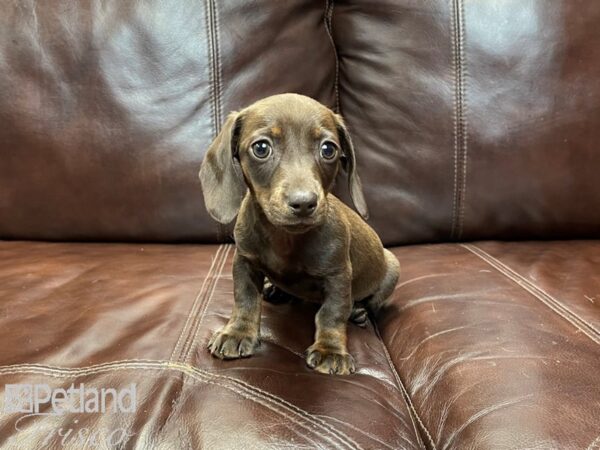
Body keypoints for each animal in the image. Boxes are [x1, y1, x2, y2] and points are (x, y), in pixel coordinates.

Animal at [199, 93, 400, 374]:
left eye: (328, 149)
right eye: (261, 148)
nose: (304, 203)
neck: (285, 238)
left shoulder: (338, 276)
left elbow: (332, 313)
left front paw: (330, 350)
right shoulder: (244, 261)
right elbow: (245, 300)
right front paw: (238, 333)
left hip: (392, 266)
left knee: (368, 302)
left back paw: (358, 312)